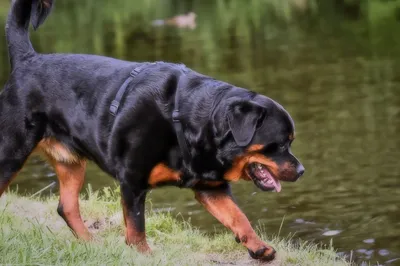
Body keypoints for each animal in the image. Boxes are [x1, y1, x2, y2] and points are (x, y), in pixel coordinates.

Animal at [0, 0, 304, 262]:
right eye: (280, 144)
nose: (301, 170)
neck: (189, 122)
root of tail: (28, 59)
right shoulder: (132, 180)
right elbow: (136, 225)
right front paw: (143, 254)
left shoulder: (211, 187)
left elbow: (238, 216)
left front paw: (258, 246)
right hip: (11, 151)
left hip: (70, 162)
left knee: (67, 206)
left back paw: (91, 244)